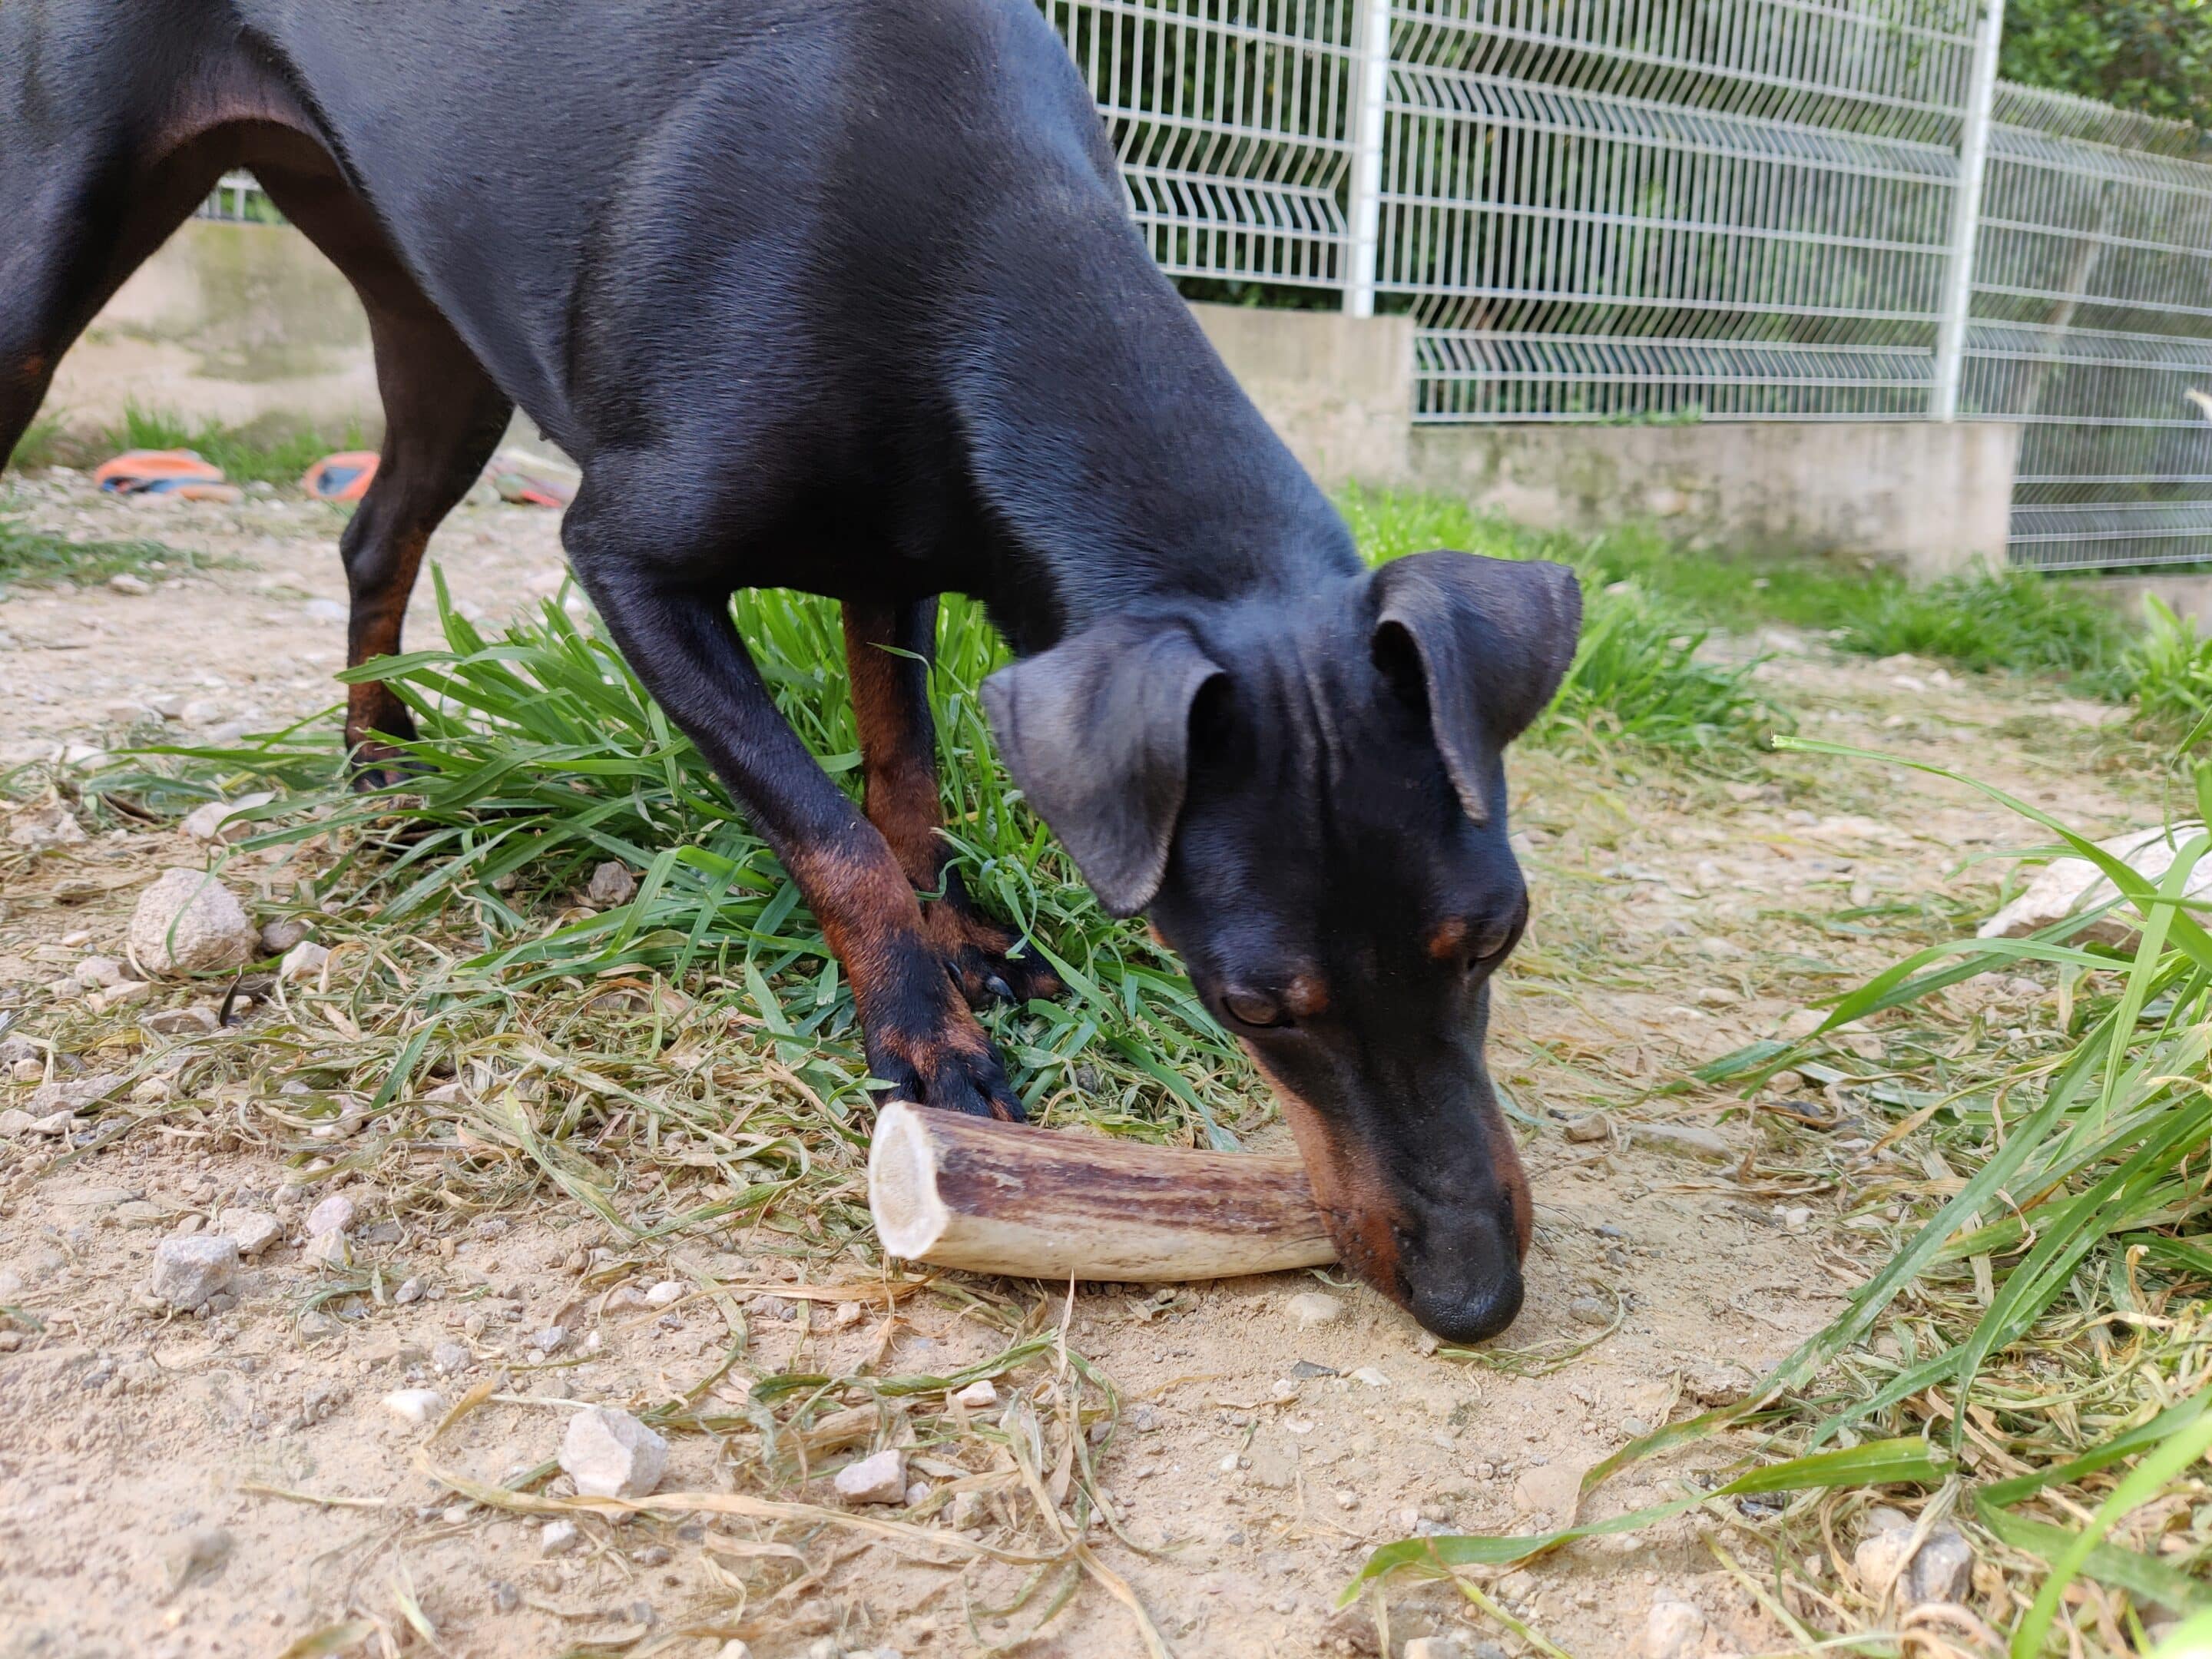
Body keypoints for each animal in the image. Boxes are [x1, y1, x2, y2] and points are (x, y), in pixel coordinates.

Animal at [8, 0, 1584, 1336]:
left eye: (1494, 940)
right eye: (1255, 1009)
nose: (1476, 1298)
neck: (986, 244)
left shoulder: (898, 555)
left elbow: (906, 776)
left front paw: (961, 943)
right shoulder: (626, 560)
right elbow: (827, 828)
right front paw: (923, 1034)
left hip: (430, 319)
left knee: (374, 537)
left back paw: (383, 773)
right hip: (50, 246)